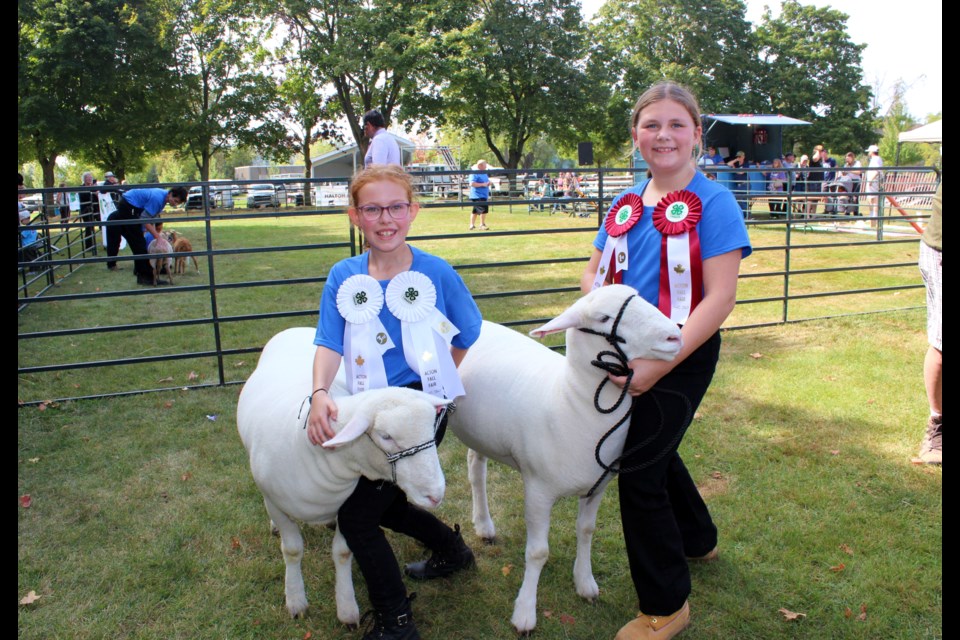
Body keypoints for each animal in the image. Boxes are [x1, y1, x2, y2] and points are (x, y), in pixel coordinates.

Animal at [238, 328, 452, 624]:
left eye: (432, 428)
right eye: (385, 436)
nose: (436, 494)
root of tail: (295, 329)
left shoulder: (345, 507)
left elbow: (343, 551)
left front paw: (347, 608)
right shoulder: (276, 503)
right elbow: (292, 549)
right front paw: (296, 600)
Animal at [448, 286, 684, 636]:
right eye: (603, 318)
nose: (675, 336)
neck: (570, 399)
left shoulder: (597, 486)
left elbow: (586, 530)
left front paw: (585, 584)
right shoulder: (537, 490)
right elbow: (538, 552)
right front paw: (525, 613)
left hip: (481, 431)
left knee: (475, 467)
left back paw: (484, 525)